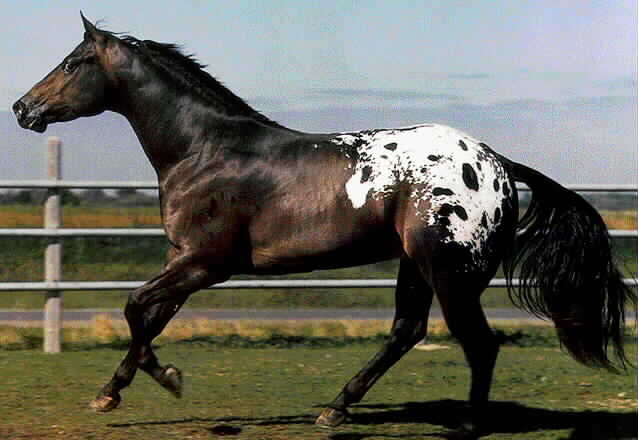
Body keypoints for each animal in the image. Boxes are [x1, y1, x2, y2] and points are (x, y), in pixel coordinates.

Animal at [12, 14, 636, 436]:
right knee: (406, 331)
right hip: (416, 266)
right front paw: (112, 393)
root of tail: (497, 162)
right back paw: (335, 408)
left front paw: (167, 379)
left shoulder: (206, 262)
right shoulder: (184, 261)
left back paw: (463, 427)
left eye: (72, 63)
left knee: (478, 343)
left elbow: (135, 308)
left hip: (451, 273)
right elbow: (149, 318)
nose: (22, 108)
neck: (205, 150)